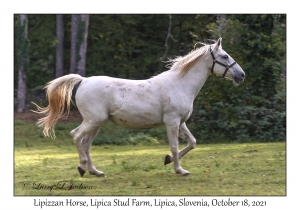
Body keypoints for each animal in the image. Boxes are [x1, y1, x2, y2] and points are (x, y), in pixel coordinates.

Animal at [33, 37, 244, 176]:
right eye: (225, 56)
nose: (241, 75)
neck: (180, 84)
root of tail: (83, 80)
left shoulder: (181, 122)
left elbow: (192, 142)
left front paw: (168, 160)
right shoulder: (172, 122)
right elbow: (175, 146)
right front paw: (179, 170)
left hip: (96, 123)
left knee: (86, 143)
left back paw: (95, 171)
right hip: (93, 121)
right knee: (76, 136)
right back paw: (82, 167)